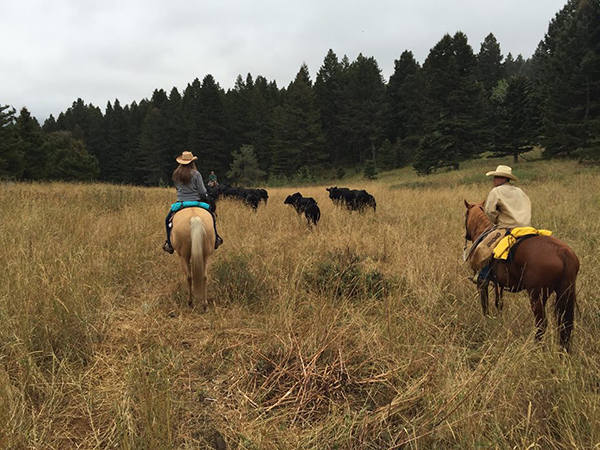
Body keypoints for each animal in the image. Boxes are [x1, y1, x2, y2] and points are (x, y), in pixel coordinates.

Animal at [462, 200, 580, 352]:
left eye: (465, 215)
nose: (466, 236)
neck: (482, 230)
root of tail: (562, 252)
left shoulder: (482, 283)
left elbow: (485, 305)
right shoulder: (499, 285)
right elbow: (499, 303)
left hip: (537, 296)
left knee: (541, 324)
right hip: (564, 292)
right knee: (565, 325)